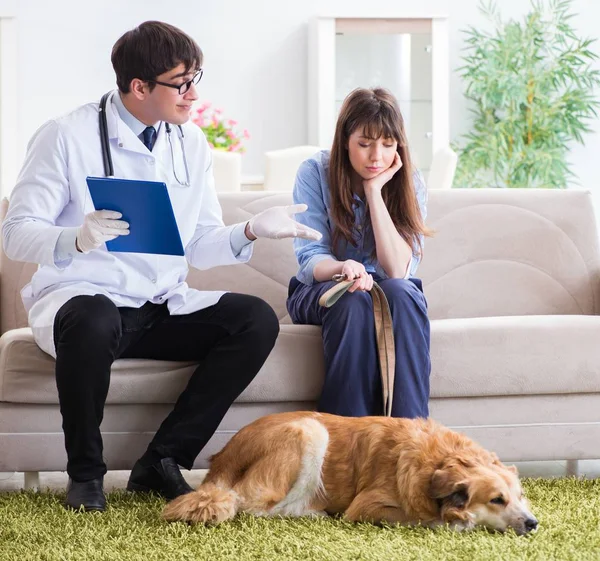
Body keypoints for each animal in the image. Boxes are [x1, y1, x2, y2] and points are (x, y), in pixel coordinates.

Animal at [163, 412, 540, 532]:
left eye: (521, 497)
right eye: (497, 500)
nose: (534, 523)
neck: (436, 461)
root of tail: (223, 456)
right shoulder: (367, 507)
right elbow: (418, 518)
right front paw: (458, 521)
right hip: (309, 431)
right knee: (253, 506)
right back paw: (312, 513)